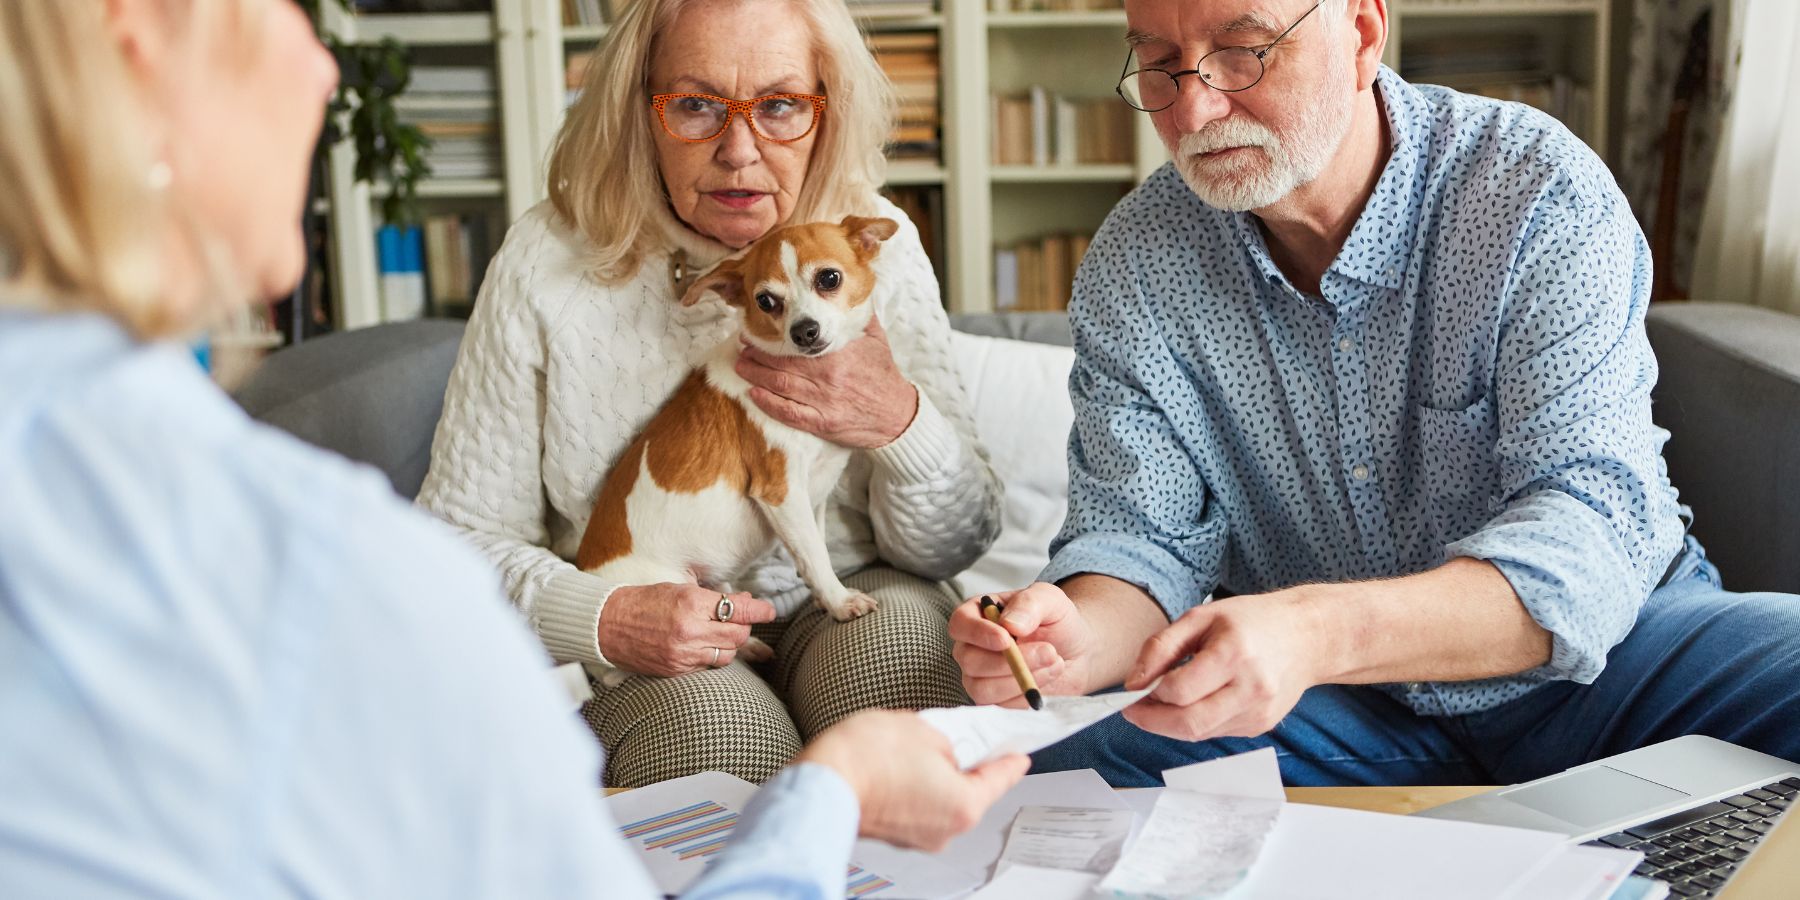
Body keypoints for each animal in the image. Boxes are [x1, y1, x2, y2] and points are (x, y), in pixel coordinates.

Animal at [576, 214, 900, 658]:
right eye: (765, 301)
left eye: (829, 278)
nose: (804, 331)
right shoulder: (781, 492)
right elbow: (815, 555)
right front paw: (840, 601)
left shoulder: (813, 494)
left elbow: (814, 548)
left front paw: (824, 597)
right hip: (672, 589)